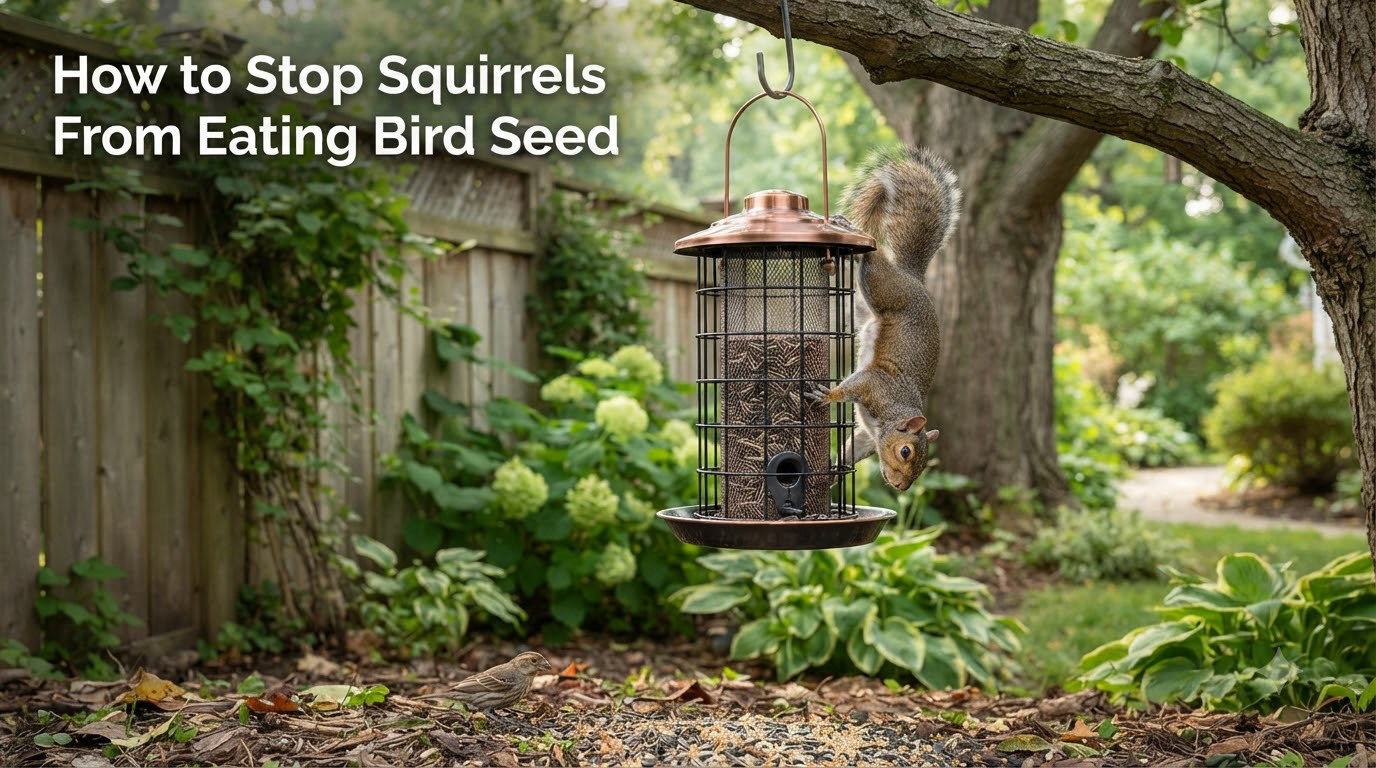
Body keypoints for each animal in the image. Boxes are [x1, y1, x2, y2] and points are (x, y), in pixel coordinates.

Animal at [810, 145, 961, 491]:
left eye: (921, 466)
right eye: (905, 451)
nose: (900, 487)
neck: (892, 416)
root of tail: (913, 277)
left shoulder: (868, 436)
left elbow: (855, 448)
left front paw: (834, 469)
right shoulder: (875, 384)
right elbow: (851, 386)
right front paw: (829, 395)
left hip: (863, 308)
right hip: (885, 287)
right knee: (873, 254)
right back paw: (851, 232)